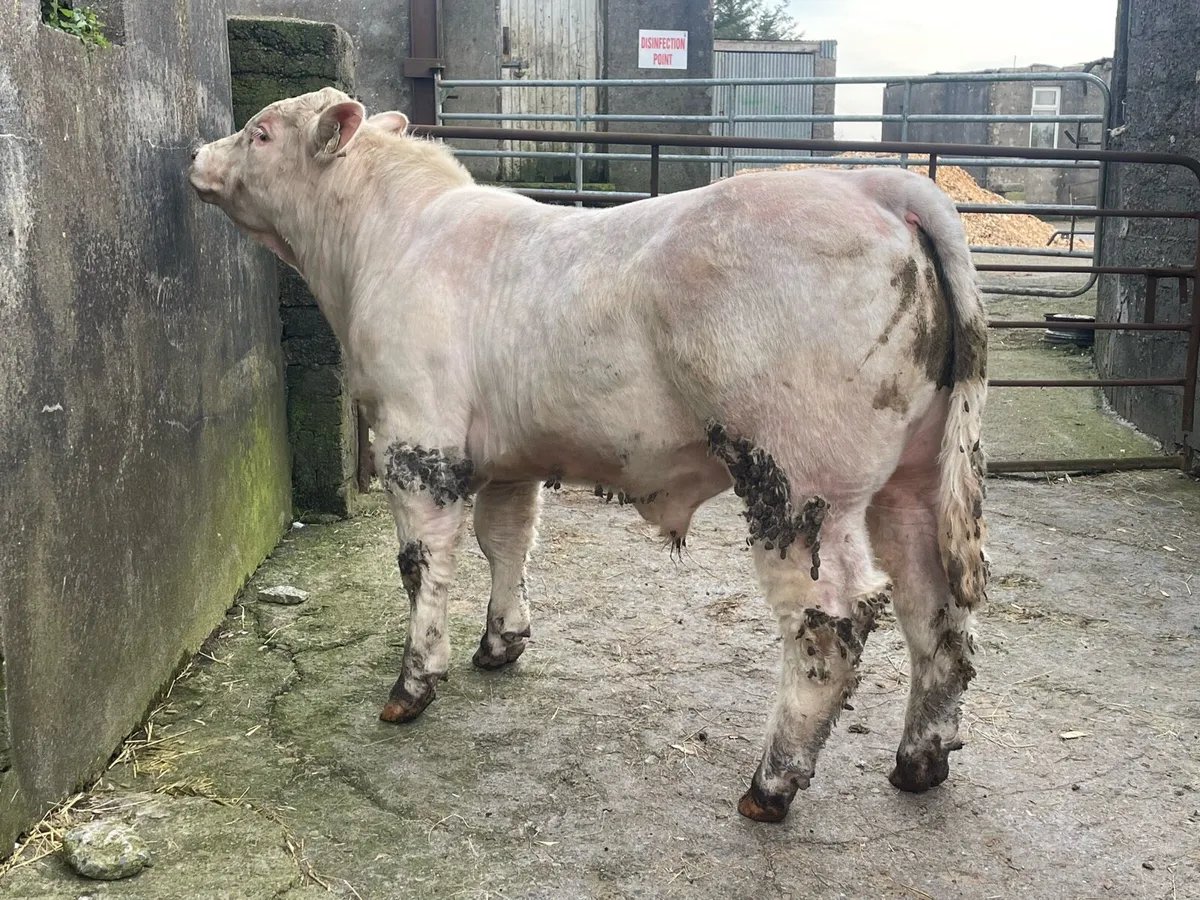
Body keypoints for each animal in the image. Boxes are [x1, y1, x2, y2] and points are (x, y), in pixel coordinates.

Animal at [188, 87, 989, 823]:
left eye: (260, 132)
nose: (195, 156)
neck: (382, 243)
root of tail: (870, 184)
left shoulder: (417, 439)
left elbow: (423, 563)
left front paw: (414, 683)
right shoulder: (508, 456)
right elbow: (506, 541)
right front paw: (501, 641)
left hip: (798, 483)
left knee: (831, 618)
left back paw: (772, 784)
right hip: (911, 480)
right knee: (933, 605)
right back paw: (919, 760)